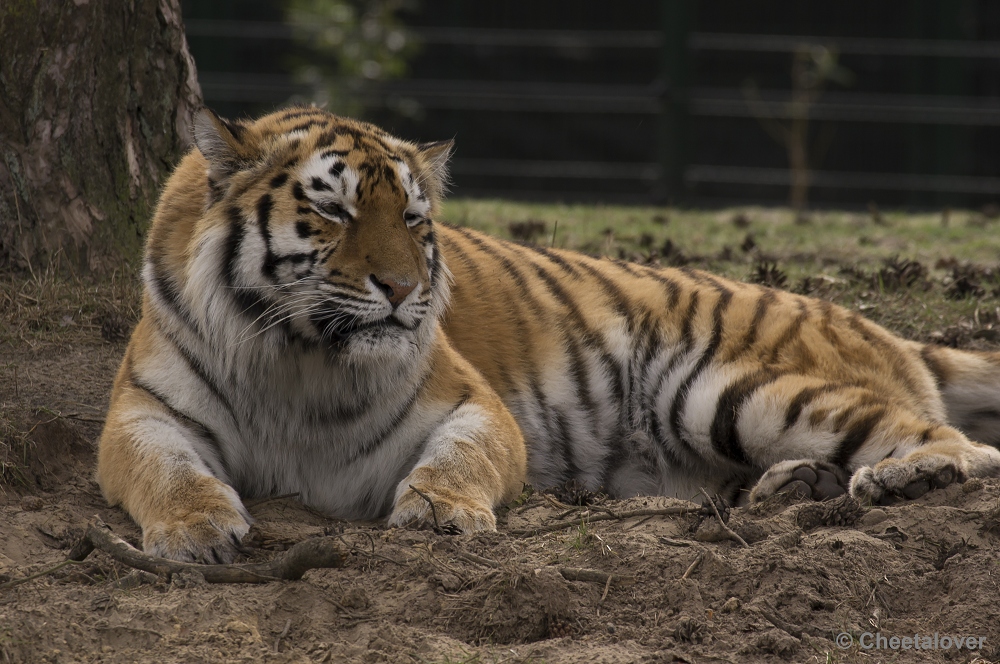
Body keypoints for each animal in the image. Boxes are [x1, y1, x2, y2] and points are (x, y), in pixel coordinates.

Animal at [97, 106, 1000, 564]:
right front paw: (195, 529)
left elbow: (460, 458)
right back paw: (794, 488)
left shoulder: (473, 405)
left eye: (413, 219)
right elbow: (163, 469)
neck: (299, 360)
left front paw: (440, 513)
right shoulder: (141, 413)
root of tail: (876, 323)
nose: (405, 290)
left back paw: (906, 479)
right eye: (337, 211)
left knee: (958, 442)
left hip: (724, 388)